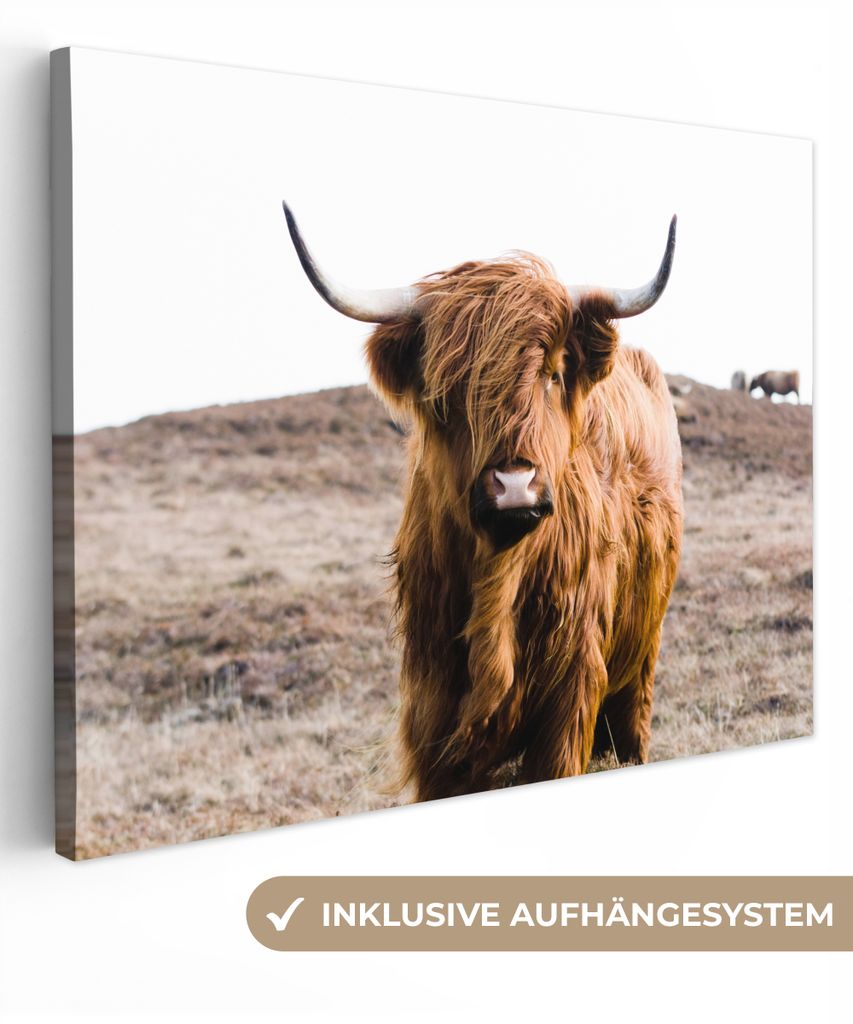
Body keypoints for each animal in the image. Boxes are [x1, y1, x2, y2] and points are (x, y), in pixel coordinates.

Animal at [282, 203, 683, 801]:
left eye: (553, 374)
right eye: (447, 390)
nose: (514, 483)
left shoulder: (570, 694)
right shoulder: (433, 707)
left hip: (642, 656)